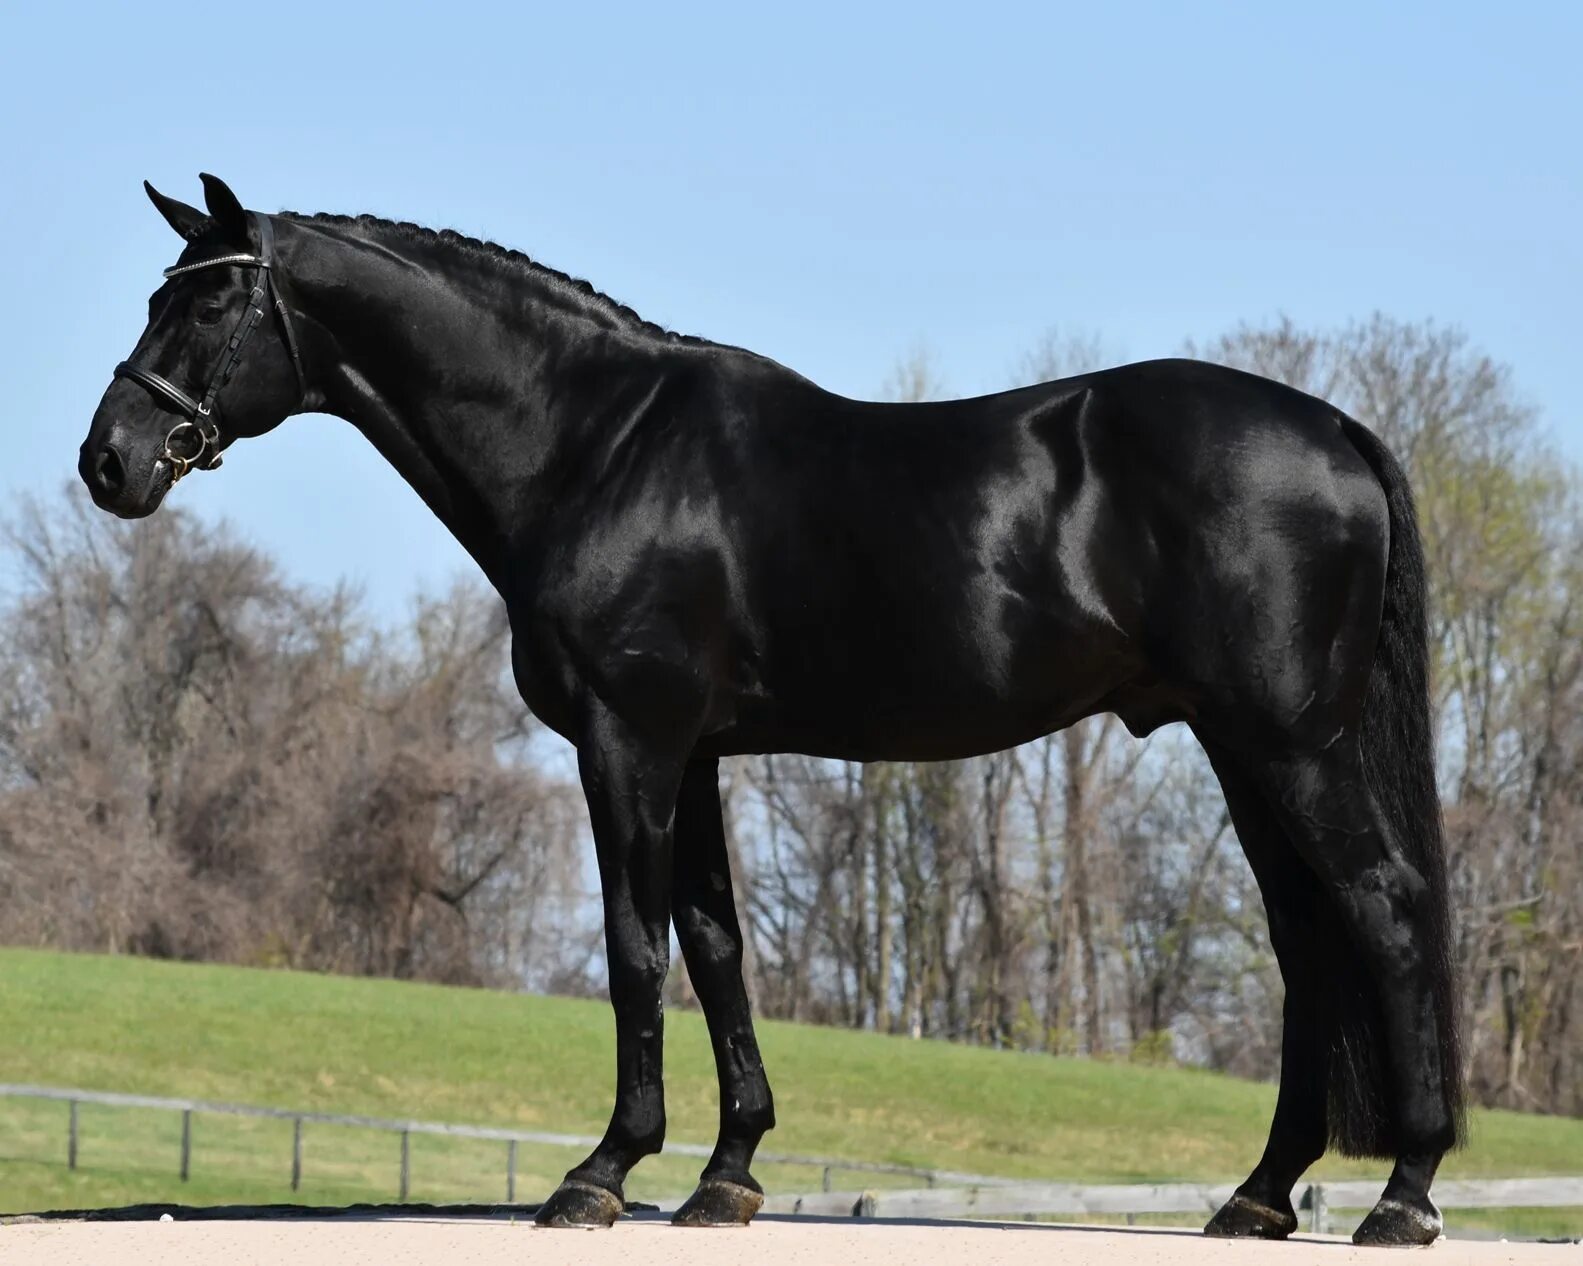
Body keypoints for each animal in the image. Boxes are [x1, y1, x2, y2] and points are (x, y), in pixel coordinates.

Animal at [80, 173, 1462, 1240]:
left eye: (210, 299)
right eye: (157, 292)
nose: (109, 462)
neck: (595, 447)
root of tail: (1334, 429)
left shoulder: (626, 741)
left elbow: (635, 951)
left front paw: (600, 1173)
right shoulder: (692, 755)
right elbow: (714, 945)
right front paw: (725, 1174)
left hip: (1288, 743)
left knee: (1383, 910)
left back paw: (1401, 1196)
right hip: (1242, 747)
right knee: (1303, 939)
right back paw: (1259, 1195)